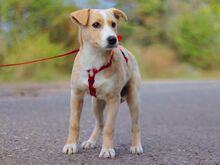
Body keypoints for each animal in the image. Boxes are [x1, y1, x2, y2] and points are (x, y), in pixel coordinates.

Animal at [62, 8, 144, 159]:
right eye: (95, 25)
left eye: (113, 24)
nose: (113, 39)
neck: (94, 60)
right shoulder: (76, 95)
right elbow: (74, 124)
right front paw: (70, 145)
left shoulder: (113, 99)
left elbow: (109, 128)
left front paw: (107, 149)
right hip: (96, 103)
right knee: (99, 123)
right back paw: (90, 141)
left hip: (134, 98)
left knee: (135, 125)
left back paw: (136, 146)